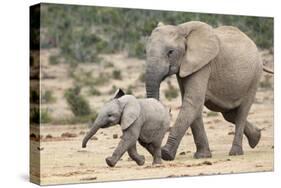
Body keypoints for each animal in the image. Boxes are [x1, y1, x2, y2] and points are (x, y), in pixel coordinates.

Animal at [144, 21, 270, 161]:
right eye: (145, 51)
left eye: (170, 52)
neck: (181, 28)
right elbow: (193, 104)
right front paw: (202, 156)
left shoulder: (203, 64)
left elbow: (192, 101)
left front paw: (166, 154)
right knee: (229, 114)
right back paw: (256, 138)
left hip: (254, 78)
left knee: (242, 112)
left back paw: (236, 152)